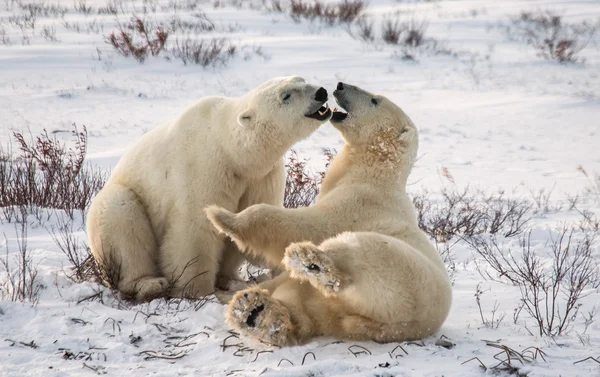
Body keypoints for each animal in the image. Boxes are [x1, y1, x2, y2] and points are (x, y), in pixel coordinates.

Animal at [85, 75, 332, 302]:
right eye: (286, 95)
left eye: (302, 79)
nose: (321, 92)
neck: (232, 150)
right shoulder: (204, 166)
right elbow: (195, 227)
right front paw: (196, 290)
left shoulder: (260, 177)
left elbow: (254, 219)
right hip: (117, 206)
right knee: (122, 219)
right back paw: (150, 284)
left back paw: (229, 279)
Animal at [204, 81, 452, 344]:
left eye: (375, 100)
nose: (340, 85)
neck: (374, 174)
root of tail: (397, 326)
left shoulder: (356, 203)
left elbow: (304, 224)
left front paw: (222, 216)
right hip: (340, 308)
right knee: (308, 309)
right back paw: (255, 312)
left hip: (399, 271)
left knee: (352, 255)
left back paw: (308, 260)